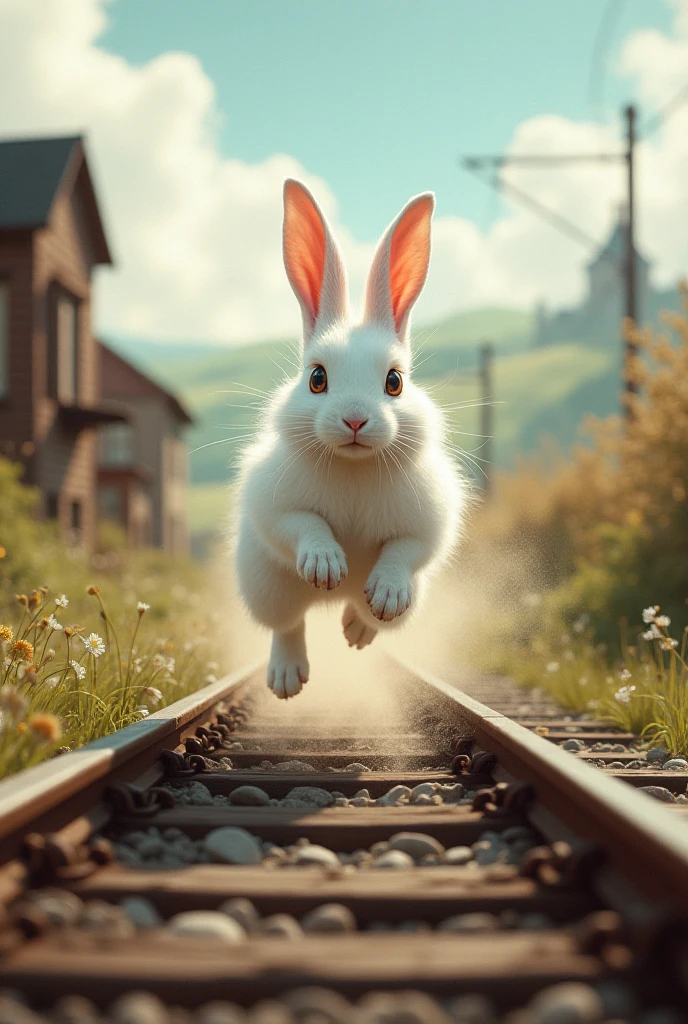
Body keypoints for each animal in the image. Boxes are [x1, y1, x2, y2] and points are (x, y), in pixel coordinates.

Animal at [234, 178, 466, 699]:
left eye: (395, 381)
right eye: (317, 378)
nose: (356, 420)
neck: (355, 466)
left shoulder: (426, 525)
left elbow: (404, 550)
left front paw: (385, 591)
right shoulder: (275, 507)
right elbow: (304, 525)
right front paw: (326, 565)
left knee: (367, 618)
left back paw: (357, 625)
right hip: (268, 587)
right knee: (288, 624)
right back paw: (287, 678)